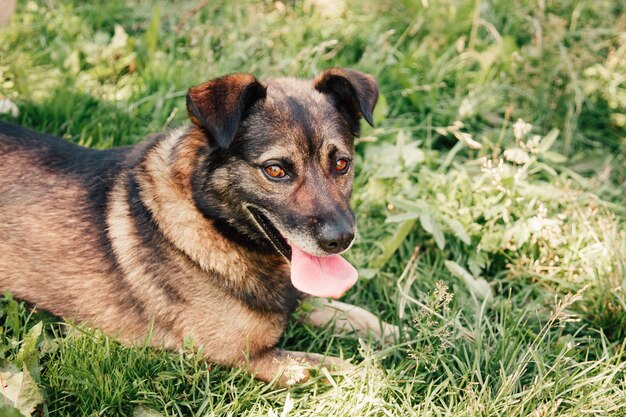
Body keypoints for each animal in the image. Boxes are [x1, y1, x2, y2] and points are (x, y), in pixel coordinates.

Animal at [1, 67, 394, 384]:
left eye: (342, 164)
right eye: (275, 170)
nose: (341, 239)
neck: (210, 221)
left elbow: (340, 310)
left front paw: (386, 330)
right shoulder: (251, 357)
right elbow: (344, 368)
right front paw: (383, 374)